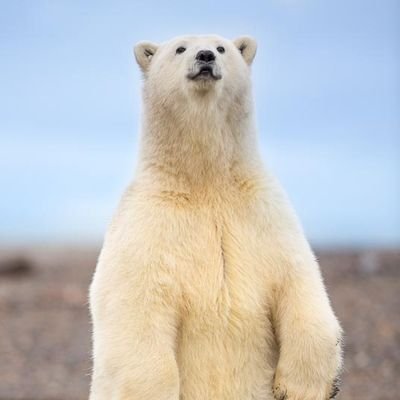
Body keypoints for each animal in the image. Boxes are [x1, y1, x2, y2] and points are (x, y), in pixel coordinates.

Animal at [89, 34, 342, 400]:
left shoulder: (264, 212)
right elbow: (136, 309)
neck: (206, 183)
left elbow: (299, 283)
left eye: (222, 47)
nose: (205, 56)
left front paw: (299, 388)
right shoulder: (146, 225)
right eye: (179, 48)